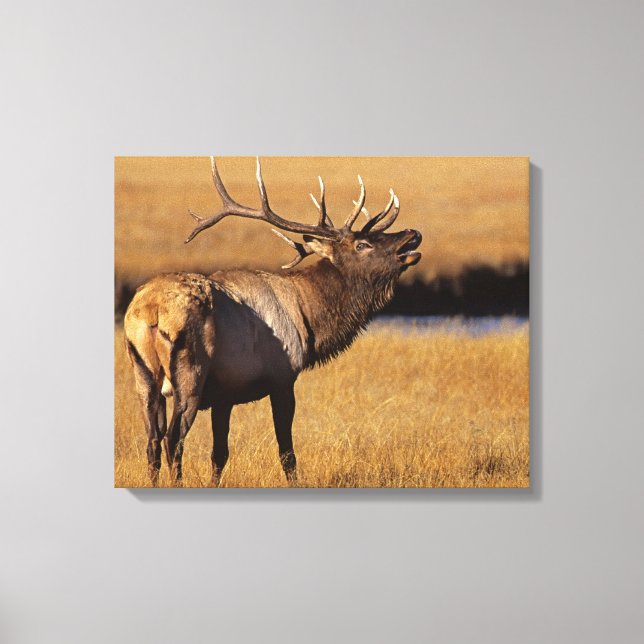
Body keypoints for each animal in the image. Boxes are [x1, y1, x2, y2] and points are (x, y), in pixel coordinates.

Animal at [123, 157, 422, 487]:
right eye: (362, 244)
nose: (412, 233)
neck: (308, 319)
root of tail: (151, 312)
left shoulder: (225, 394)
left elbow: (219, 454)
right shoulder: (282, 378)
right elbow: (287, 453)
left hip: (143, 375)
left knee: (152, 441)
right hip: (189, 373)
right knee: (173, 439)